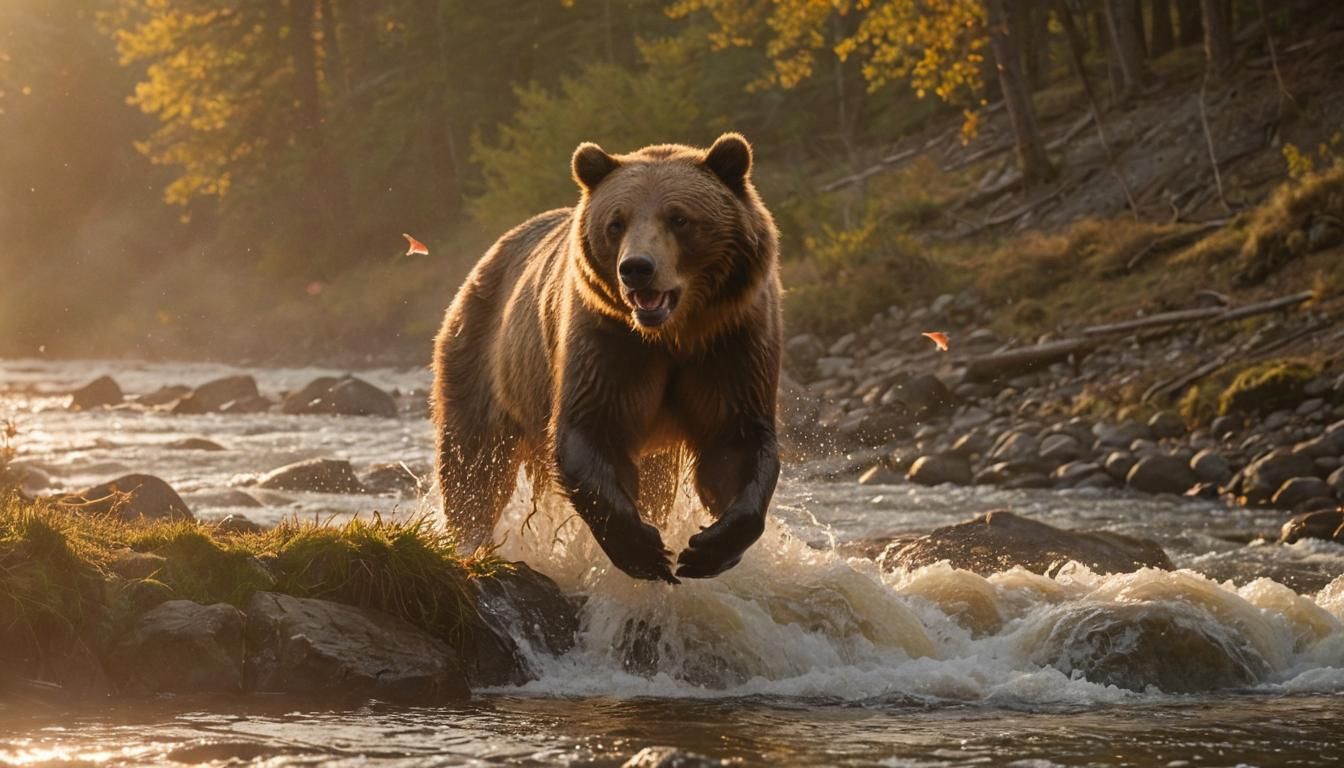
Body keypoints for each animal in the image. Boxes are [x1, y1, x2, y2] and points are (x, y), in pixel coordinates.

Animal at [432, 133, 781, 583]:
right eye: (616, 223)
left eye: (679, 218)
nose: (636, 268)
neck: (672, 334)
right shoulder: (607, 342)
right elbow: (591, 428)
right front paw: (646, 552)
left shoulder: (731, 342)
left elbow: (734, 440)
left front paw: (706, 549)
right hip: (482, 354)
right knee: (473, 467)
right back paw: (470, 542)